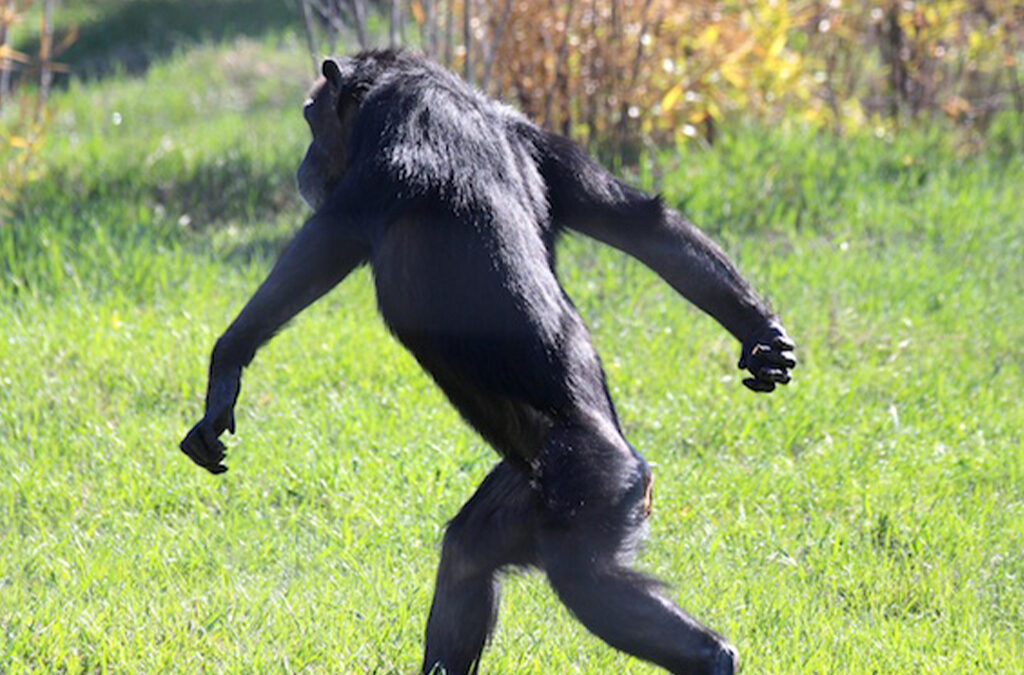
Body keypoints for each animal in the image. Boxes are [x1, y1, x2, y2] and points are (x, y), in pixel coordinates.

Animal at [180, 49, 795, 675]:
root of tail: (635, 463)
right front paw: (762, 335)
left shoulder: (395, 132)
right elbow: (640, 222)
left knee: (588, 582)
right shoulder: (546, 144)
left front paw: (225, 368)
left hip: (591, 489)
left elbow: (326, 242)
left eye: (311, 117)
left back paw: (712, 657)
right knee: (468, 557)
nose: (305, 158)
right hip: (527, 493)